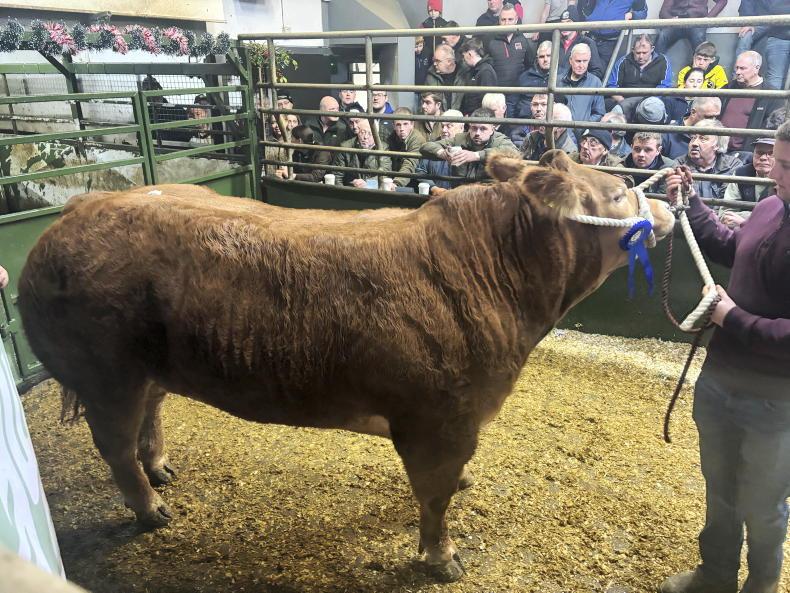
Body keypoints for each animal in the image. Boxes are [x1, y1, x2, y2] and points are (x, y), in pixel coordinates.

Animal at [17, 150, 674, 582]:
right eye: (618, 192)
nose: (668, 204)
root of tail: (78, 207)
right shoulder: (437, 418)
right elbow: (434, 497)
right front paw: (442, 559)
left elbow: (448, 483)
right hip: (106, 373)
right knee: (114, 445)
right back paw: (150, 508)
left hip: (151, 364)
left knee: (150, 413)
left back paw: (160, 470)